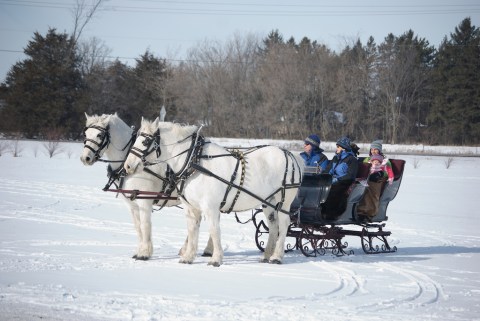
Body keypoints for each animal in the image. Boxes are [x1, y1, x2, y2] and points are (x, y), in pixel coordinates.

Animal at [80, 114, 212, 258]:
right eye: (86, 133)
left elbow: (145, 225)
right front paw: (139, 250)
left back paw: (207, 249)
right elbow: (138, 227)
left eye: (99, 135)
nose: (85, 158)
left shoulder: (144, 201)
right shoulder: (131, 204)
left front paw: (145, 253)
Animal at [124, 117, 304, 264]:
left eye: (145, 142)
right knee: (273, 226)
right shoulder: (191, 207)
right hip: (268, 202)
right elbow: (192, 230)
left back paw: (277, 257)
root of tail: (290, 154)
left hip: (283, 202)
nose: (128, 166)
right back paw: (267, 255)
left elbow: (214, 230)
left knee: (284, 224)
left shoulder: (210, 207)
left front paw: (216, 259)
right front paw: (188, 257)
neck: (194, 162)